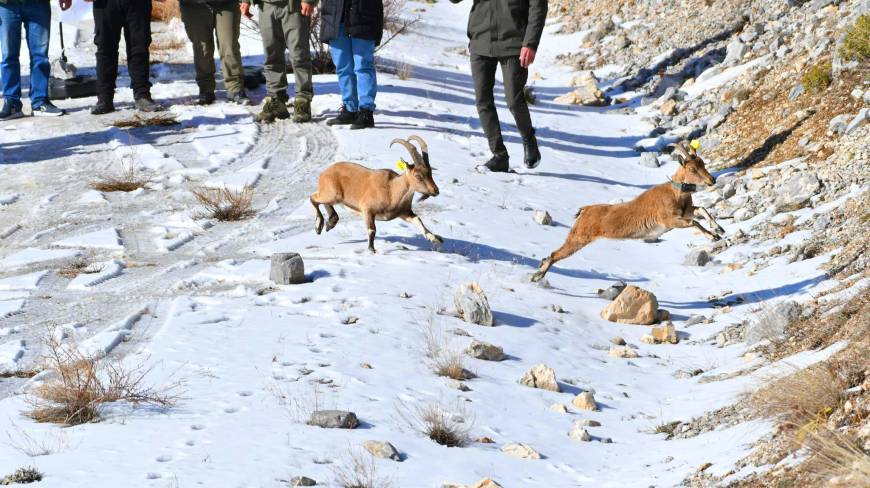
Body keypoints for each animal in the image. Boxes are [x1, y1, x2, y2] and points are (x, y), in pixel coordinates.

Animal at [310, 135, 442, 254]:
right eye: (418, 176)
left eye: (430, 173)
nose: (435, 190)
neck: (392, 190)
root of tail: (324, 173)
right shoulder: (368, 210)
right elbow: (372, 229)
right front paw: (371, 249)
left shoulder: (404, 213)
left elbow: (418, 219)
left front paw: (434, 238)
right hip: (332, 194)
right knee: (313, 198)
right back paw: (318, 226)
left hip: (334, 197)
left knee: (325, 203)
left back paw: (330, 223)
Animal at [532, 141, 728, 282]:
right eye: (692, 168)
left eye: (703, 163)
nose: (711, 180)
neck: (676, 193)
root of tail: (584, 211)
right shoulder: (669, 220)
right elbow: (694, 222)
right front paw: (713, 236)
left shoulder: (685, 212)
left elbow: (701, 210)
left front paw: (719, 229)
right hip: (579, 237)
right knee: (555, 254)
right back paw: (538, 275)